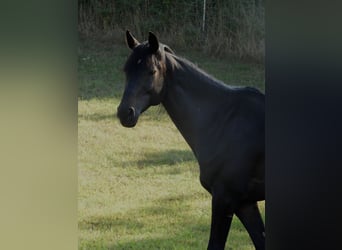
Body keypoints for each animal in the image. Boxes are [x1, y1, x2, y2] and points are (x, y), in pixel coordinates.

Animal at [117, 31, 264, 250]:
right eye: (126, 70)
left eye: (152, 71)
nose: (125, 113)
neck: (224, 120)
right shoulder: (245, 204)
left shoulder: (225, 200)